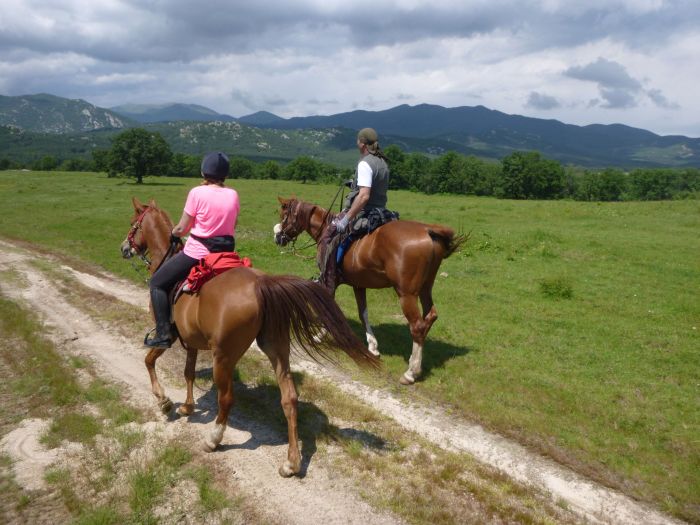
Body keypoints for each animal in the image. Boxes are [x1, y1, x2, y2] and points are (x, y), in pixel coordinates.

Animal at [120, 196, 378, 474]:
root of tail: (261, 284)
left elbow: (149, 360)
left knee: (227, 399)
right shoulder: (191, 340)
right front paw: (187, 406)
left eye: (133, 223)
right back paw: (292, 462)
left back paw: (213, 440)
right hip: (276, 348)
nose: (124, 248)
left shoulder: (168, 333)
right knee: (289, 399)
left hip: (223, 357)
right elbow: (188, 372)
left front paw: (164, 400)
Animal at [274, 196, 464, 384]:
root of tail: (427, 230)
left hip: (406, 294)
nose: (277, 237)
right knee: (430, 316)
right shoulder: (359, 284)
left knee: (417, 326)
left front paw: (319, 336)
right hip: (426, 288)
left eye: (283, 215)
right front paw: (372, 346)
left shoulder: (330, 281)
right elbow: (363, 313)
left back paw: (411, 372)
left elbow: (328, 309)